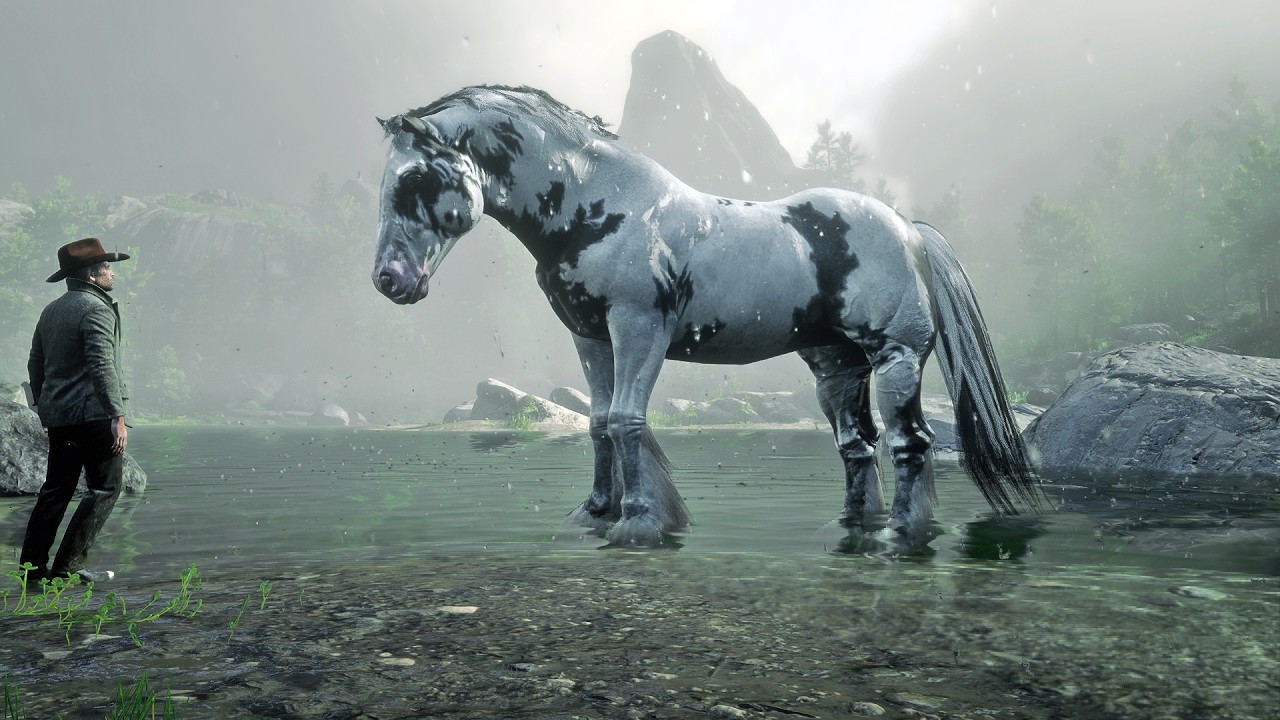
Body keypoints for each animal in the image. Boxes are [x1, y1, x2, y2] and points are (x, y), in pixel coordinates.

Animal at [372, 84, 1041, 546]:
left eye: (414, 179)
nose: (389, 280)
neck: (602, 208)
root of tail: (906, 229)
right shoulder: (591, 338)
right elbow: (597, 423)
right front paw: (595, 513)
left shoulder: (639, 327)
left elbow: (626, 421)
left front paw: (640, 522)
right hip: (835, 369)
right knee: (858, 448)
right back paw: (850, 527)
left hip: (895, 359)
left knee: (911, 444)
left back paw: (903, 534)